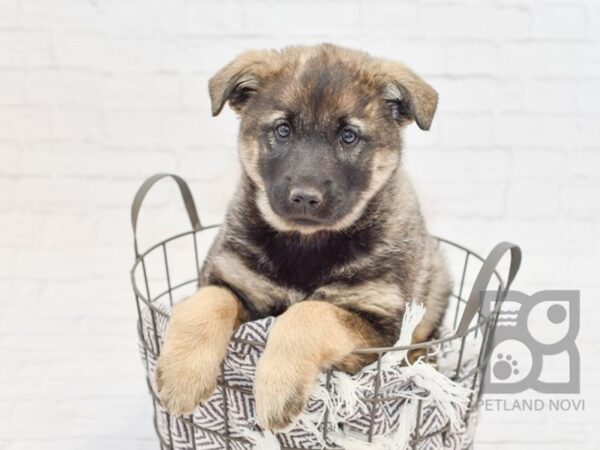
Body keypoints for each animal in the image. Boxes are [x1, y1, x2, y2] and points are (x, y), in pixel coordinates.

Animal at [157, 44, 452, 430]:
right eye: (283, 130)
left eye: (348, 136)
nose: (305, 198)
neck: (306, 244)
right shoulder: (233, 281)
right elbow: (207, 302)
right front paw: (183, 375)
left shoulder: (381, 330)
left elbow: (309, 312)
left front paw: (277, 387)